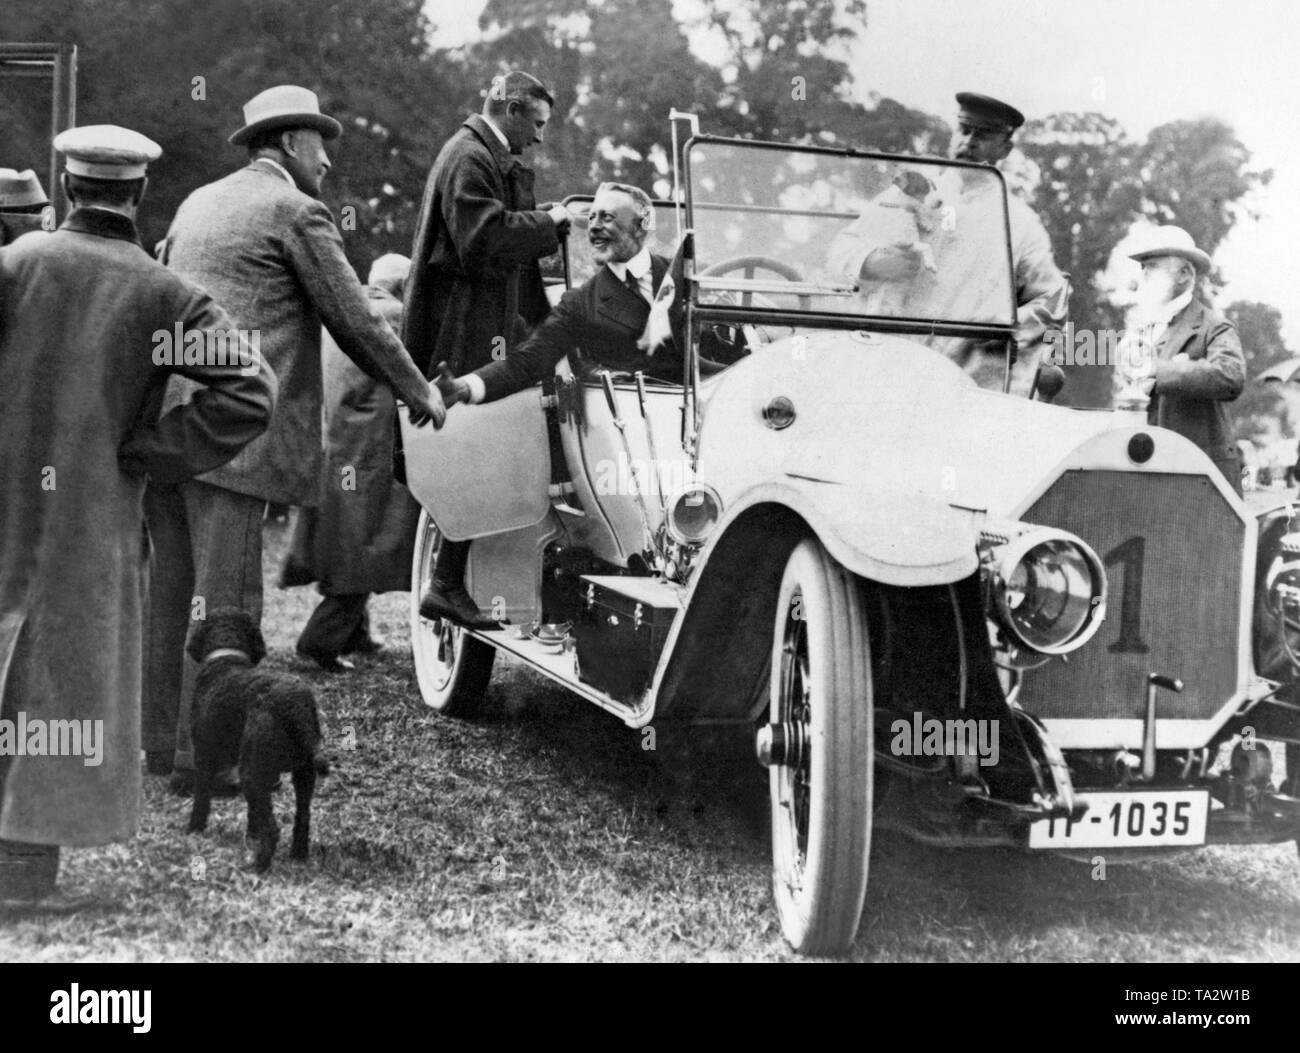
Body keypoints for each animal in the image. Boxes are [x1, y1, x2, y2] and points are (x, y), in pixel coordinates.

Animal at [185, 608, 332, 868]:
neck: (226, 658)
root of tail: (294, 705)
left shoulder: (203, 756)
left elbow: (201, 797)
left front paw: (194, 829)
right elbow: (254, 813)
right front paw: (252, 835)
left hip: (251, 773)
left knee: (273, 829)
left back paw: (258, 865)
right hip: (304, 774)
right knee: (302, 818)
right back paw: (298, 855)